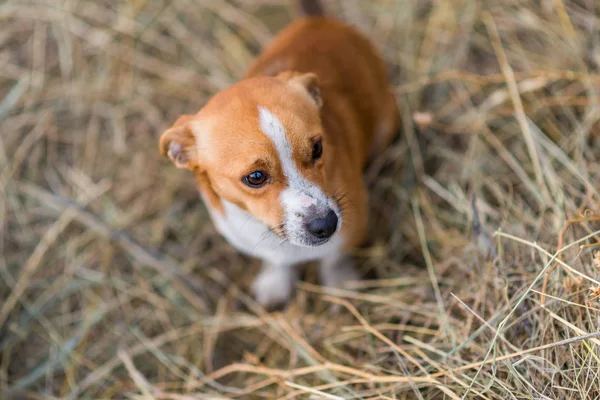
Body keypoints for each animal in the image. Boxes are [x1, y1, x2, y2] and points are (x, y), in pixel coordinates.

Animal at [161, 0, 398, 308]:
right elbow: (277, 262)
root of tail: (317, 20)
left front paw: (341, 283)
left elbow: (335, 258)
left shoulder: (352, 225)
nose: (326, 224)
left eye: (317, 148)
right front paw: (276, 282)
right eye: (255, 177)